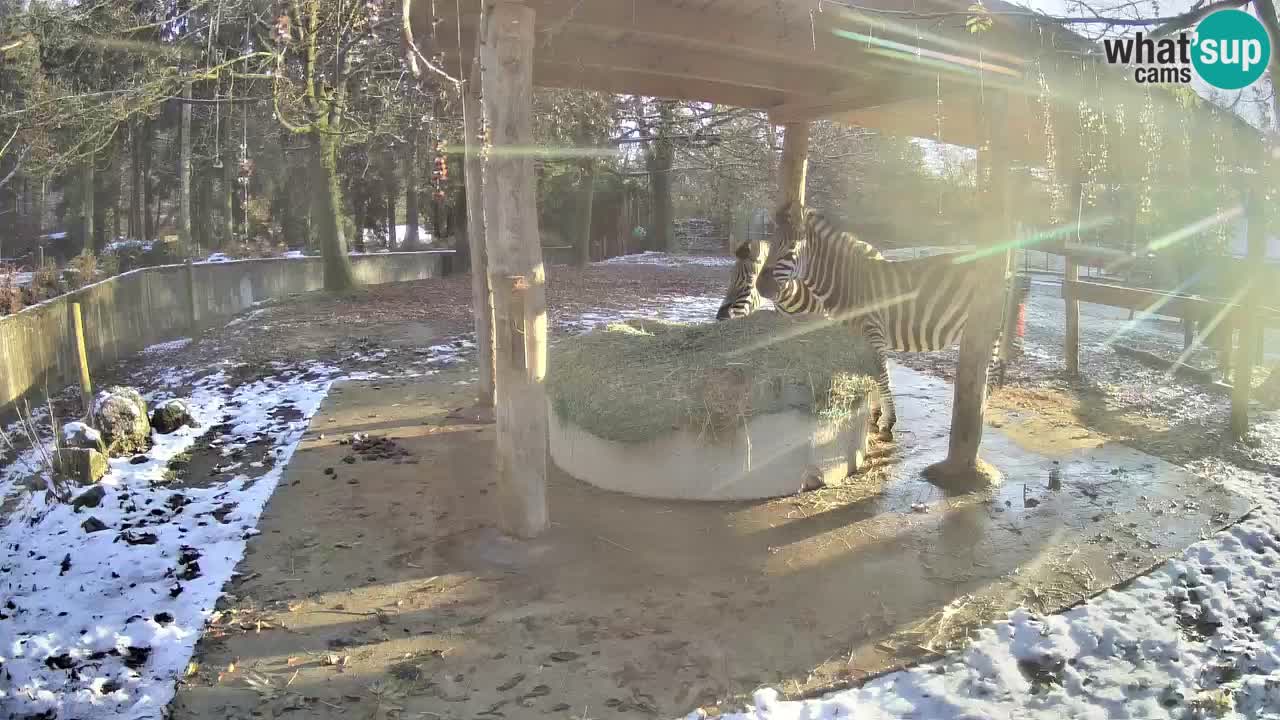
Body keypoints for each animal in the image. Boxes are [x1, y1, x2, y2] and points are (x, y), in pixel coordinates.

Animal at [752, 198, 1013, 440]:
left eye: (791, 246)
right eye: (771, 244)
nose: (761, 286)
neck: (846, 283)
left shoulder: (872, 330)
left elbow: (881, 373)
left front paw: (887, 423)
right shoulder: (859, 336)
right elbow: (873, 373)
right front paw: (876, 415)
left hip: (990, 328)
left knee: (989, 374)